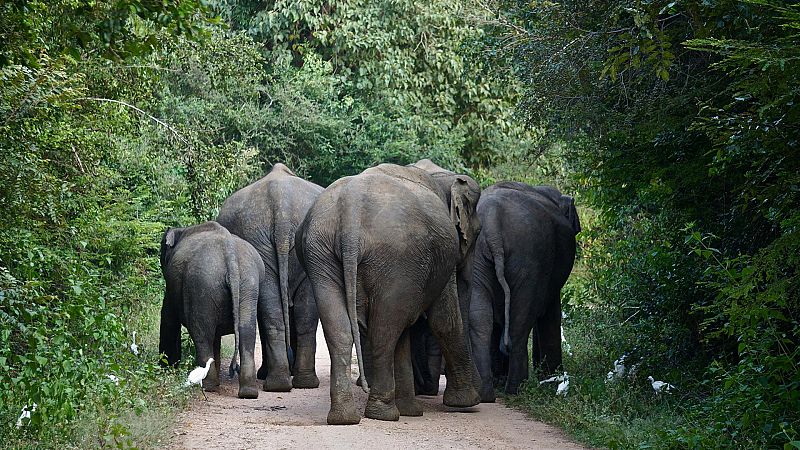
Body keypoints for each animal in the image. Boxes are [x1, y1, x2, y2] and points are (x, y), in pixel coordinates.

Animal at [159, 220, 262, 400]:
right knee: (247, 331)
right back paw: (248, 392)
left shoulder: (171, 289)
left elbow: (168, 319)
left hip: (202, 284)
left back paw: (209, 386)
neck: (182, 230)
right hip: (248, 284)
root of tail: (230, 255)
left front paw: (164, 369)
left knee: (201, 333)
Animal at [296, 160, 478, 424]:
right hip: (397, 257)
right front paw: (466, 403)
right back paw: (384, 415)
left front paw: (412, 411)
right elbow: (444, 319)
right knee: (384, 330)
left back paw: (345, 418)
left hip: (320, 253)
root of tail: (351, 210)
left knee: (342, 330)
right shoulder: (443, 260)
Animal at [466, 181, 580, 402]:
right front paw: (551, 378)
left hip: (479, 256)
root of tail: (492, 221)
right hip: (529, 258)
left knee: (481, 318)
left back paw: (487, 393)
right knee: (520, 322)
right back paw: (517, 388)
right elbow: (550, 313)